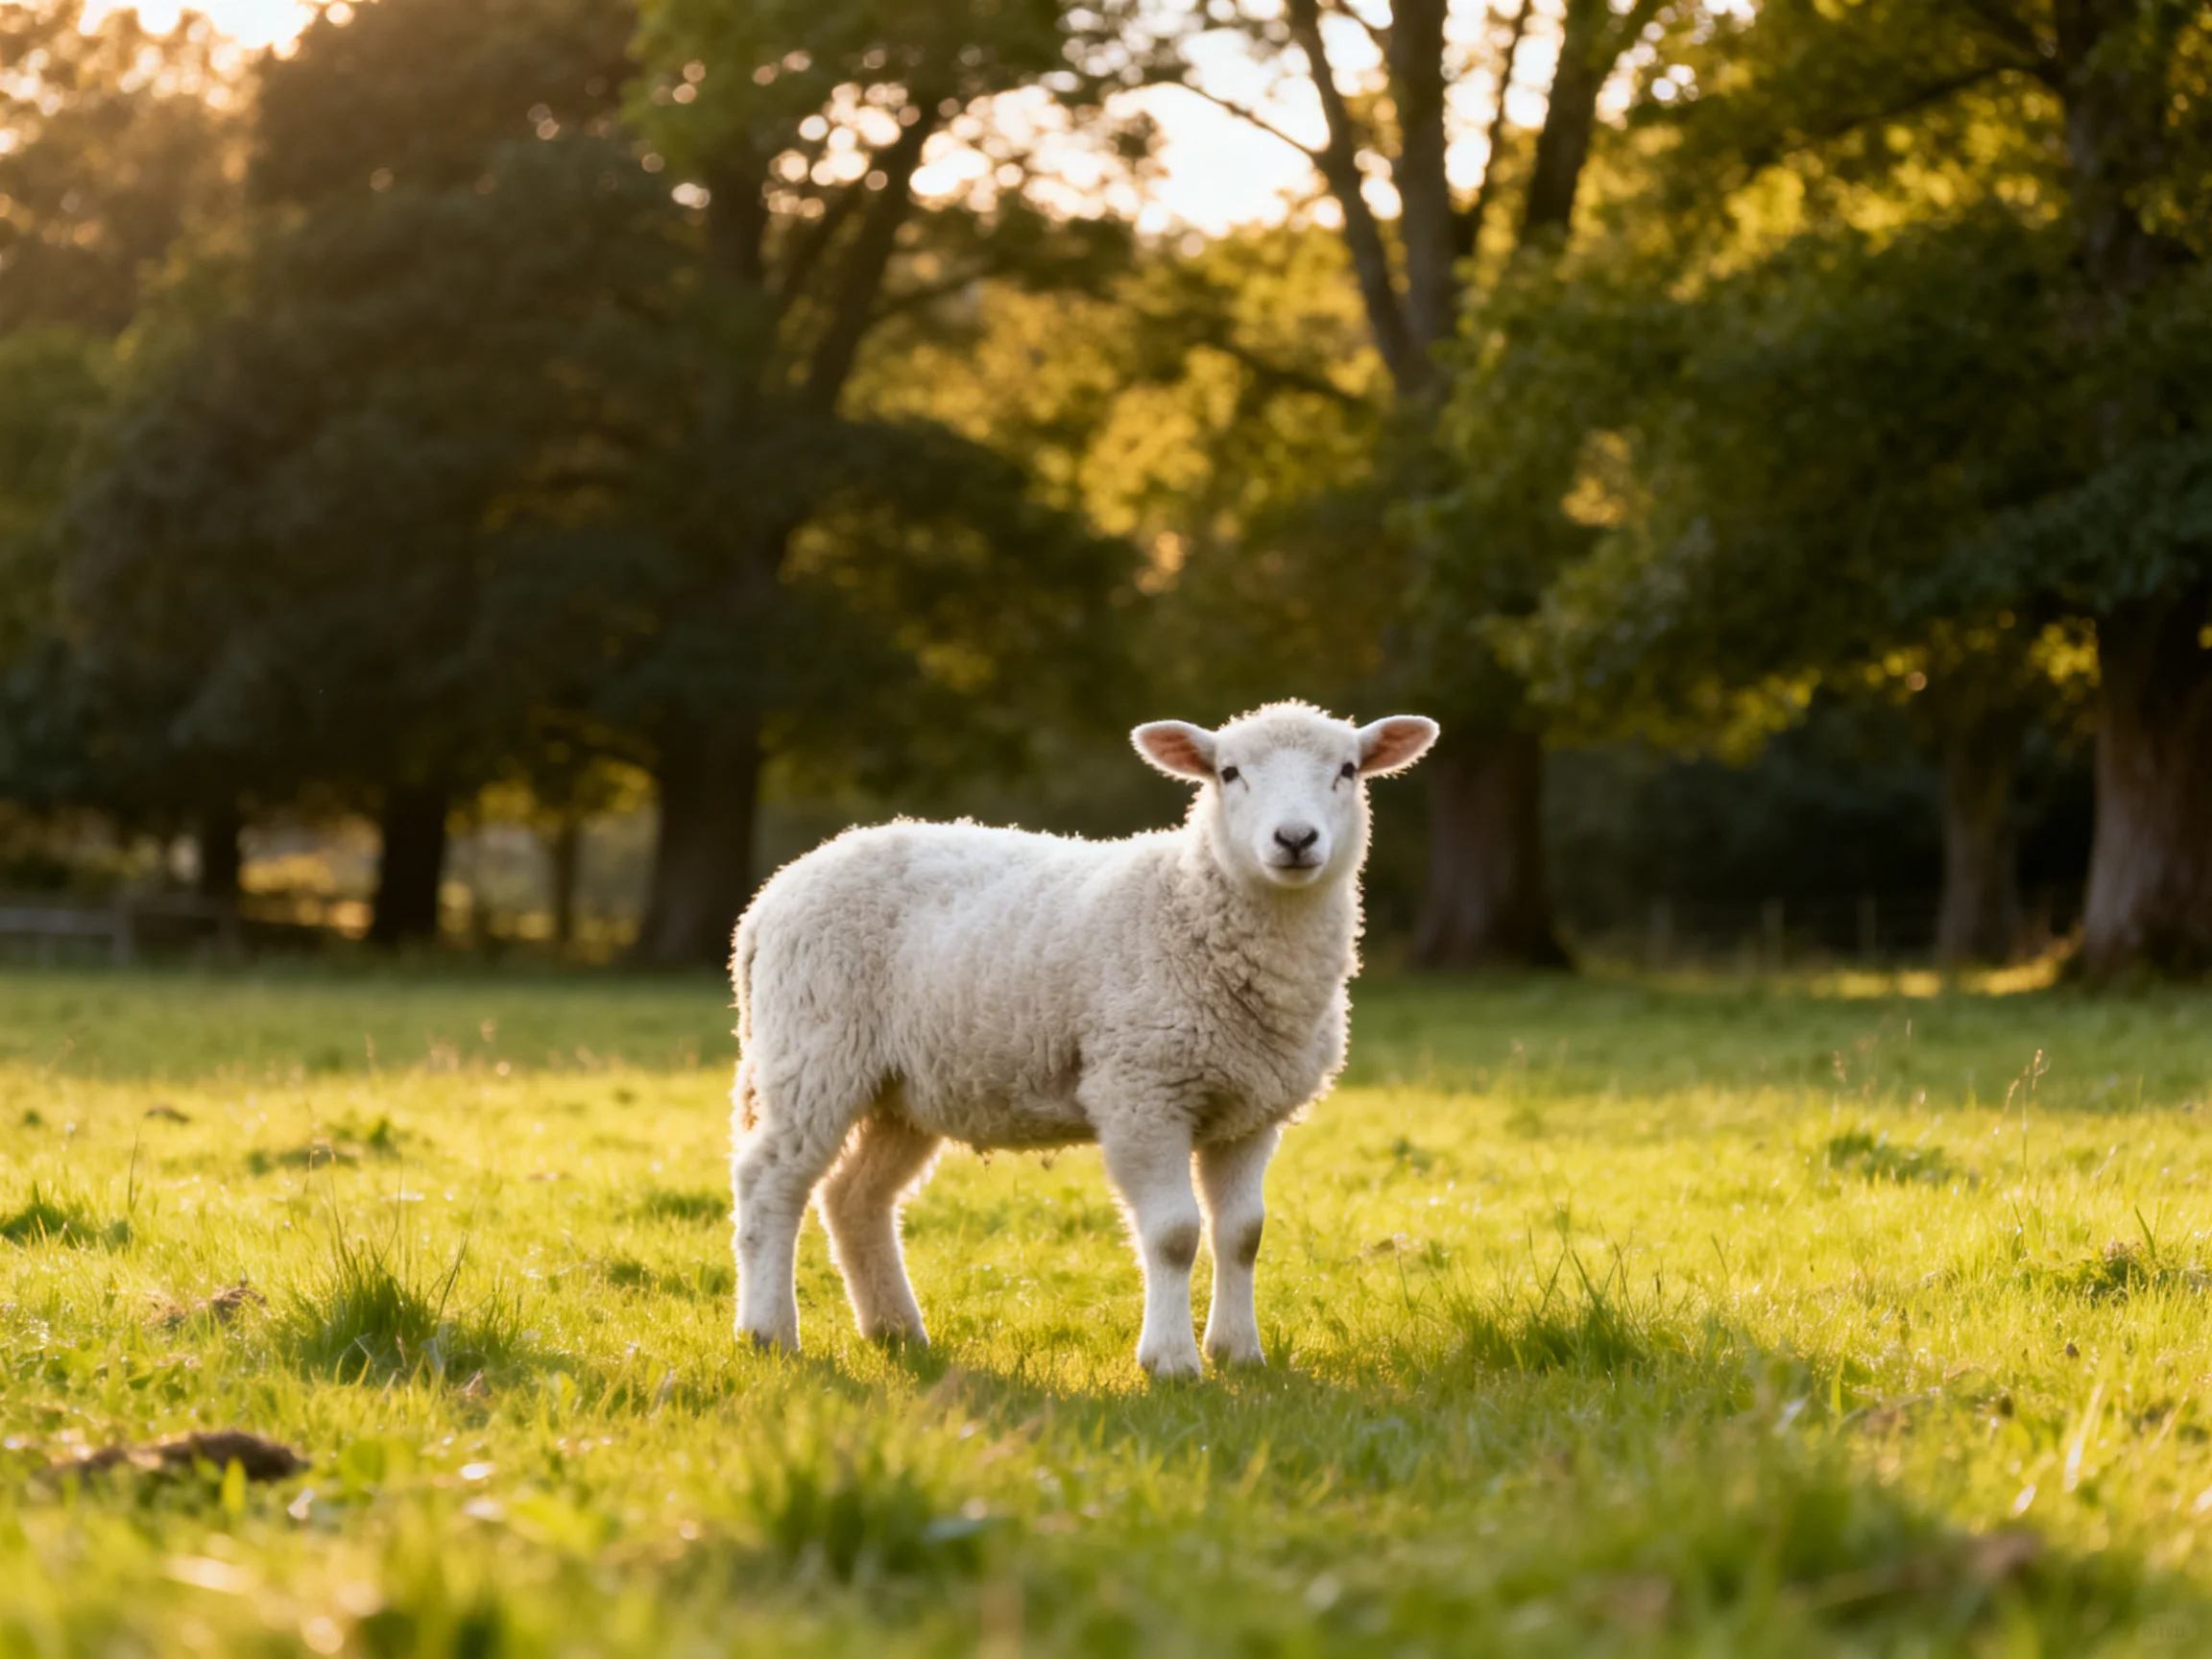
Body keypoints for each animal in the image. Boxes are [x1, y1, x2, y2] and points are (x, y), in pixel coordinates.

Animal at [727, 701, 1439, 1377]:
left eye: (1347, 770)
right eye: (1229, 772)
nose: (1295, 838)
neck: (1190, 907)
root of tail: (771, 896)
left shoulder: (1249, 1111)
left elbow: (1242, 1234)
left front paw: (1239, 1353)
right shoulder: (1141, 1091)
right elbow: (1175, 1234)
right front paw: (1171, 1361)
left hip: (902, 1087)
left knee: (855, 1197)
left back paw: (897, 1331)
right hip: (812, 1049)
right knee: (769, 1182)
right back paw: (769, 1332)